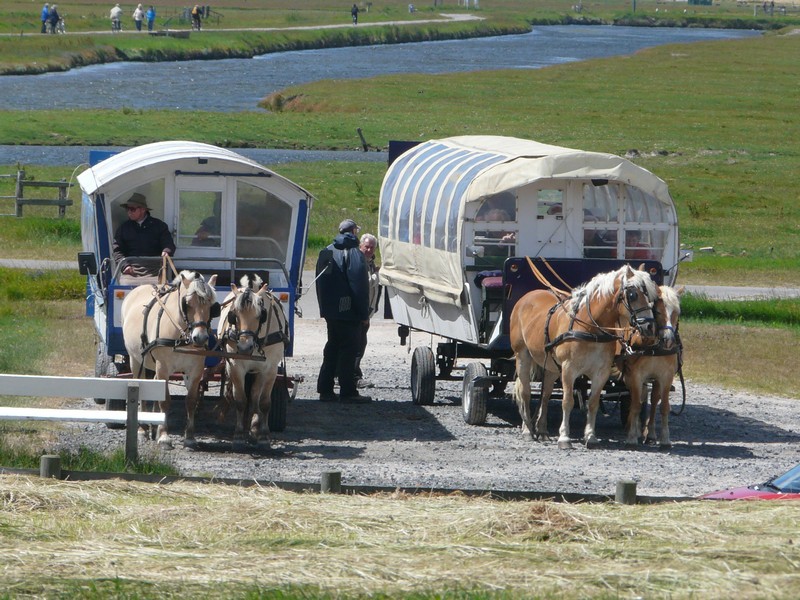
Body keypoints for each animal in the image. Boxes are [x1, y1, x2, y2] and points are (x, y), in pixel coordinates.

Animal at [121, 270, 219, 448]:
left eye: (212, 306)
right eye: (187, 304)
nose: (200, 337)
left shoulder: (195, 370)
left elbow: (191, 401)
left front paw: (189, 437)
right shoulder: (163, 368)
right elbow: (165, 400)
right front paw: (164, 436)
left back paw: (153, 425)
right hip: (135, 360)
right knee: (141, 388)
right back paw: (143, 429)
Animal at [217, 274, 290, 448]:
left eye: (261, 315)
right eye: (234, 315)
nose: (244, 347)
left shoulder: (270, 369)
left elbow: (264, 402)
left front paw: (263, 435)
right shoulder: (236, 367)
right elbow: (240, 400)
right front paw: (238, 435)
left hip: (259, 371)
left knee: (256, 396)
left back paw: (255, 428)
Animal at [510, 264, 660, 448]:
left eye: (653, 296)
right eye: (633, 295)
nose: (650, 327)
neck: (591, 328)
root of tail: (526, 297)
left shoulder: (601, 372)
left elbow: (593, 403)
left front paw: (590, 436)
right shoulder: (569, 369)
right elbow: (568, 402)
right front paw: (564, 438)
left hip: (552, 367)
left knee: (545, 395)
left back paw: (543, 430)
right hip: (522, 356)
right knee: (525, 391)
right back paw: (527, 430)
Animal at [616, 284, 684, 448]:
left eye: (677, 312)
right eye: (658, 311)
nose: (668, 339)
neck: (654, 347)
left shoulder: (666, 376)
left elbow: (664, 406)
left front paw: (665, 439)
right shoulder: (635, 376)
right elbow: (635, 405)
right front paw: (632, 436)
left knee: (653, 401)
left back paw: (650, 433)